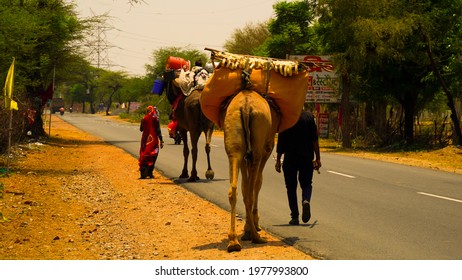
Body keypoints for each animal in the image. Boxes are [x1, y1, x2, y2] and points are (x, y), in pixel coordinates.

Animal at [221, 89, 282, 252]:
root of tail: (246, 106)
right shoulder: (267, 148)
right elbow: (257, 183)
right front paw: (254, 224)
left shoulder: (244, 157)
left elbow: (245, 184)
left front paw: (247, 227)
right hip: (258, 145)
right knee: (250, 192)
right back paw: (256, 237)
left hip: (234, 139)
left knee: (234, 189)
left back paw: (233, 241)